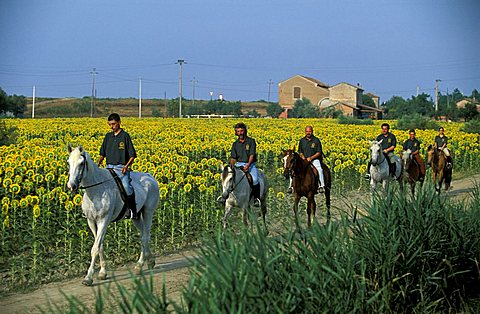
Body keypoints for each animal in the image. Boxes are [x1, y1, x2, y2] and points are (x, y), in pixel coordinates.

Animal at [66, 145, 159, 288]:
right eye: (68, 163)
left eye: (81, 163)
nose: (72, 186)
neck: (96, 190)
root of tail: (150, 177)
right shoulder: (91, 222)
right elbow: (100, 246)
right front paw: (103, 272)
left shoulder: (103, 221)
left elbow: (95, 248)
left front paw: (88, 278)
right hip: (136, 217)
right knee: (144, 236)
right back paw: (150, 261)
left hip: (148, 212)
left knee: (145, 237)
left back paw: (139, 266)